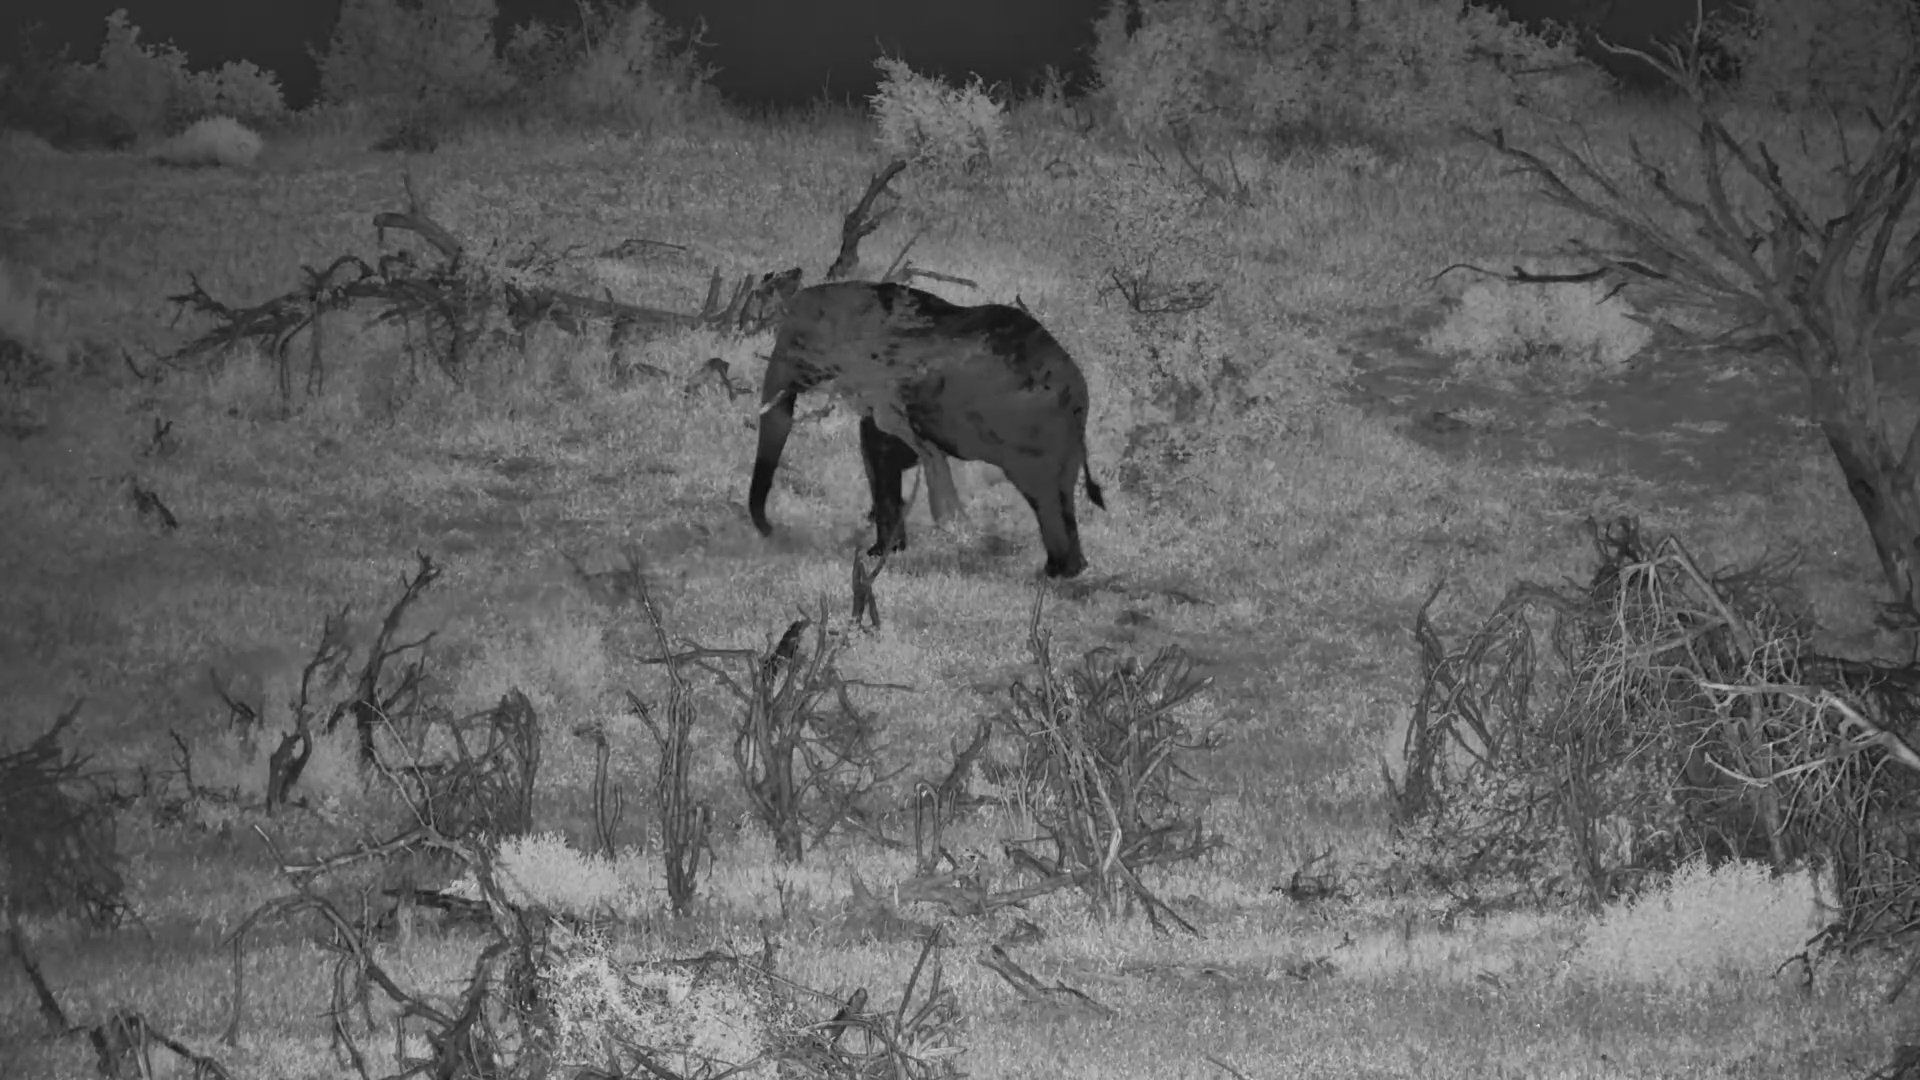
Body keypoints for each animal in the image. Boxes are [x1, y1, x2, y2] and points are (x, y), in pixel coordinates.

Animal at [747, 281, 1105, 578]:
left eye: (797, 345)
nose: (771, 531)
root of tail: (1074, 393)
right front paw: (890, 549)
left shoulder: (880, 383)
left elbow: (878, 445)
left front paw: (879, 553)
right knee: (1060, 490)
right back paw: (1069, 569)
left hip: (1027, 428)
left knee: (1041, 491)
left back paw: (1055, 574)